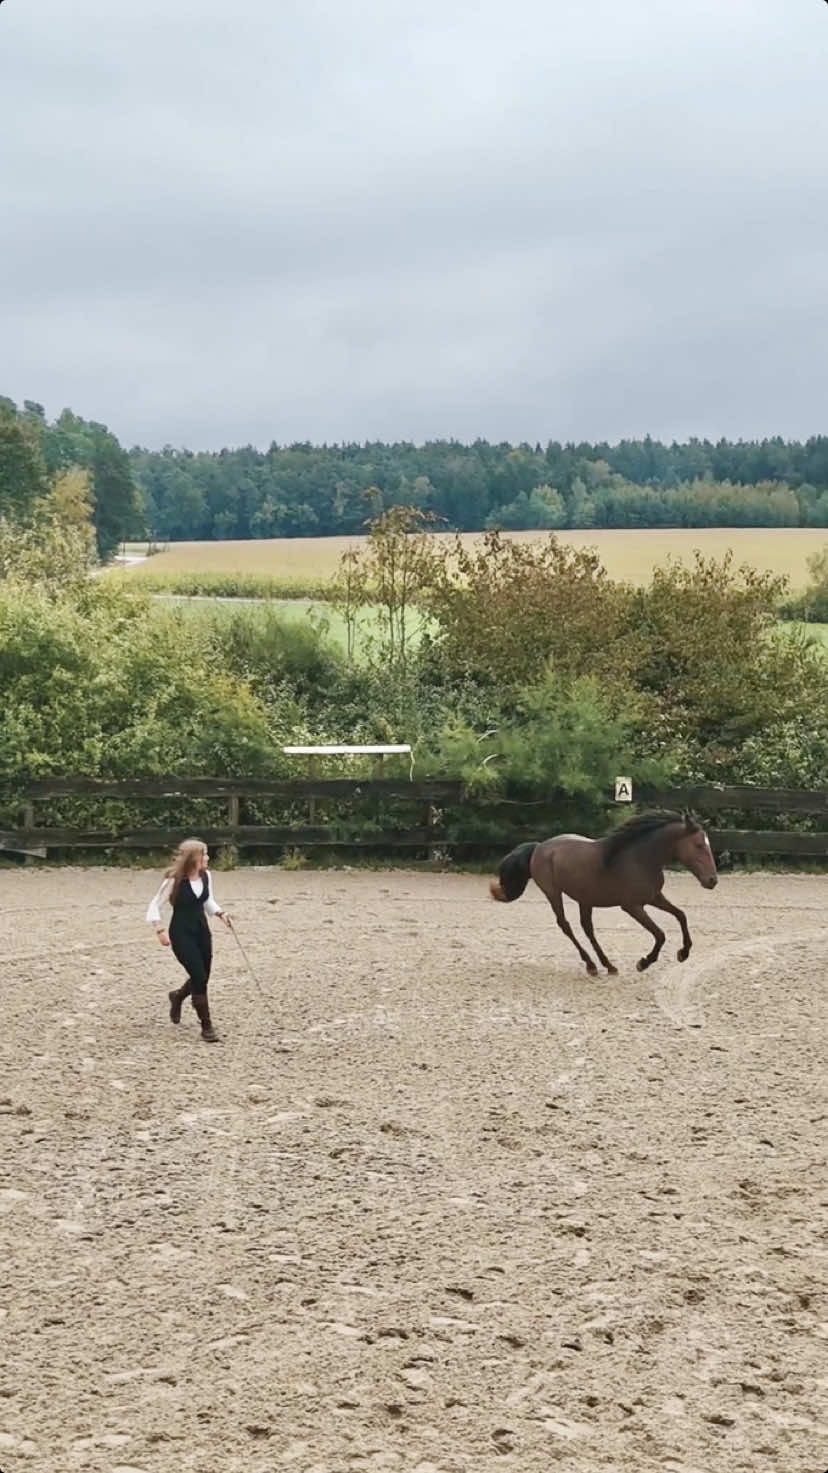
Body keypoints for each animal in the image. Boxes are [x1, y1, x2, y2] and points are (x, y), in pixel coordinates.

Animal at [489, 813, 716, 972]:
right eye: (698, 845)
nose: (712, 881)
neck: (640, 859)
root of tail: (538, 847)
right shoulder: (632, 906)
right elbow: (660, 934)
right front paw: (644, 962)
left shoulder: (654, 897)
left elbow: (681, 915)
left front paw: (684, 953)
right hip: (553, 893)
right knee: (565, 925)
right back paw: (591, 965)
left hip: (584, 899)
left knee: (587, 928)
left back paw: (608, 965)